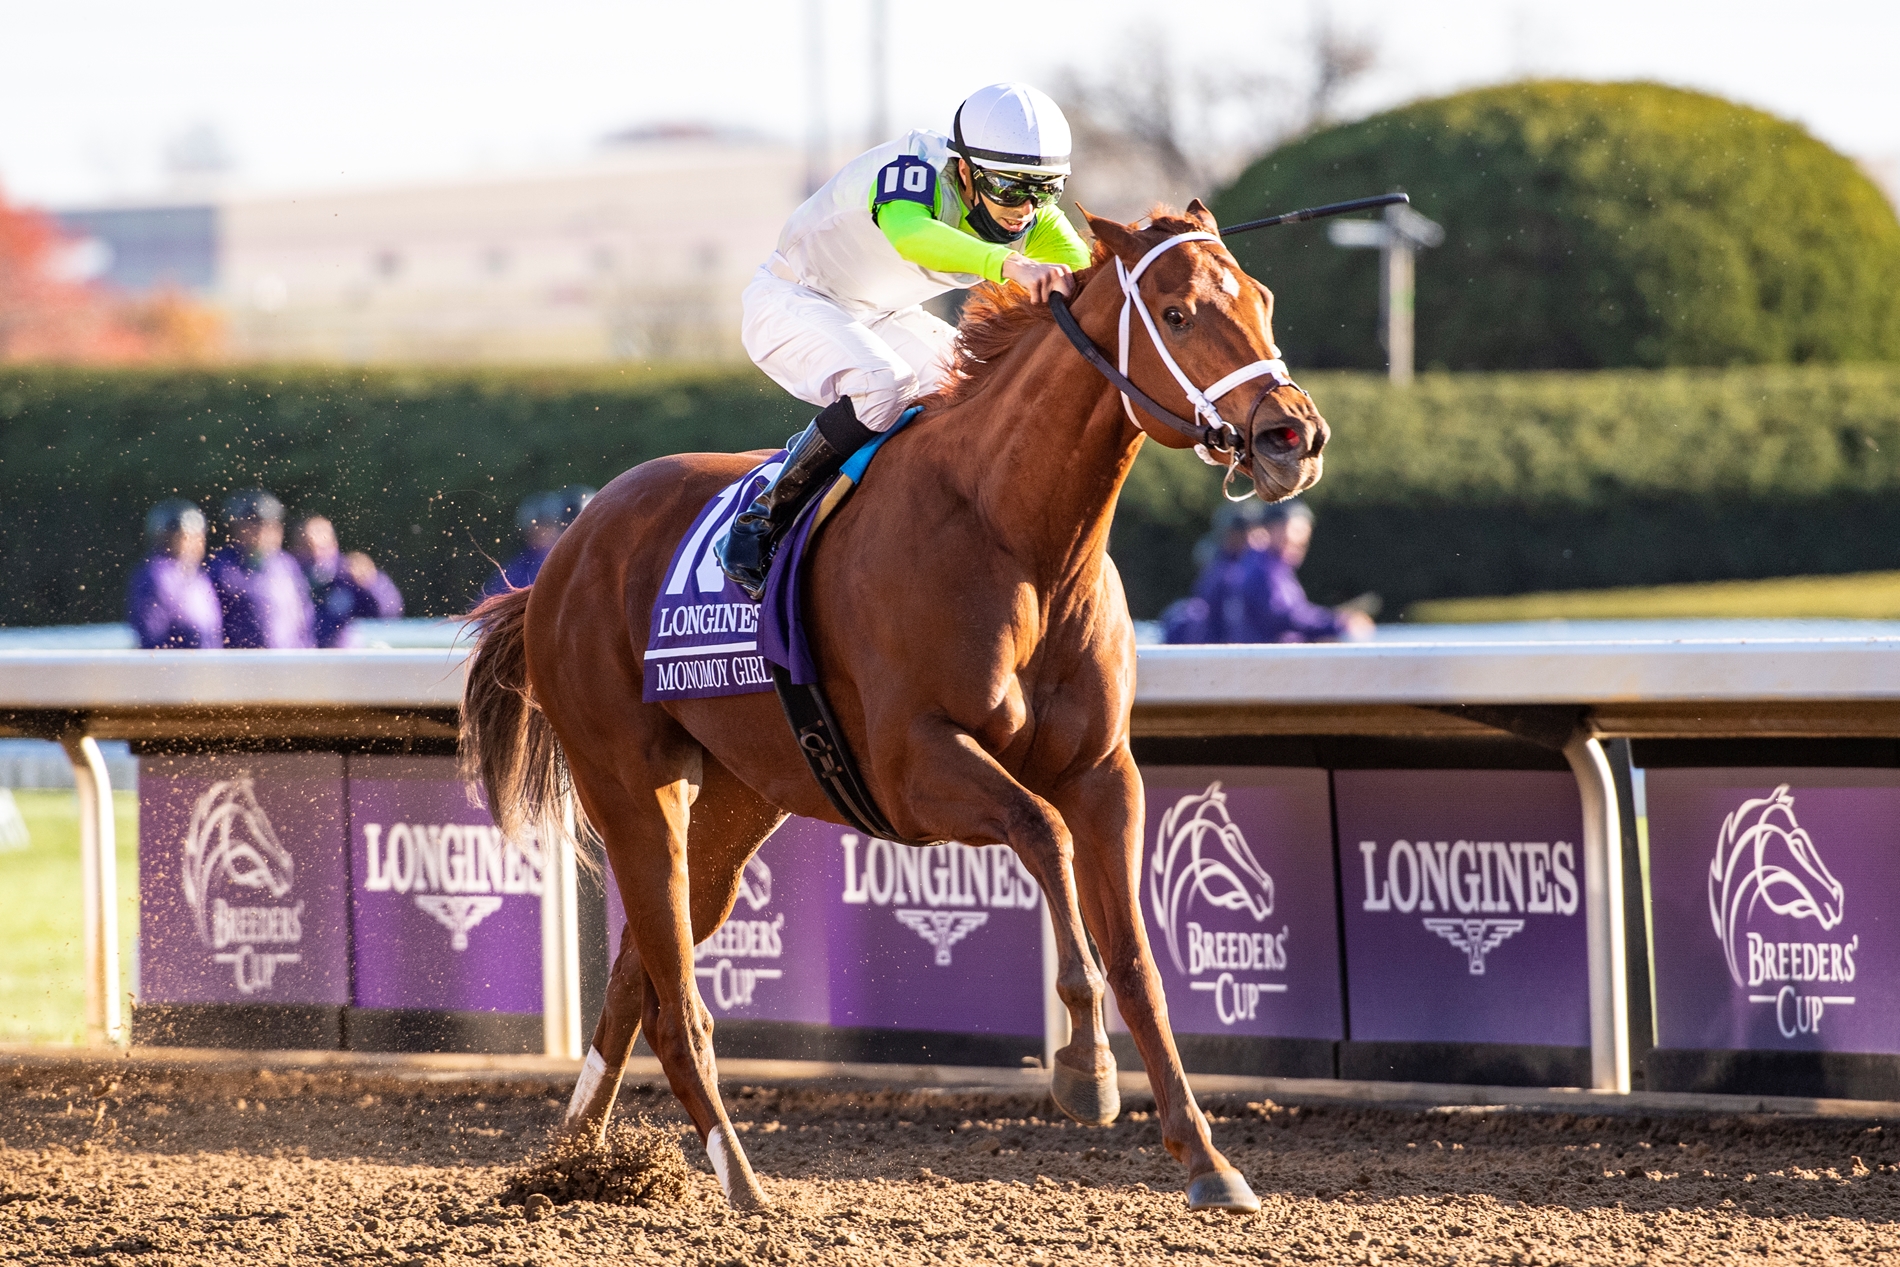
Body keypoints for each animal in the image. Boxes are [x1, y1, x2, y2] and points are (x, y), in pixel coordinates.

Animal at [463, 203, 1322, 1215]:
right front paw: (1083, 1069)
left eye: (1263, 297)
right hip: (632, 784)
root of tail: (566, 550)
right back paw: (738, 1177)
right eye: (1180, 314)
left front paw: (1207, 1158)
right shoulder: (915, 767)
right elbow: (1043, 835)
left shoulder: (1104, 770)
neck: (1014, 532)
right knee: (676, 998)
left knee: (641, 967)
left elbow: (1138, 960)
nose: (1293, 435)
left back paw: (573, 1159)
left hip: (742, 798)